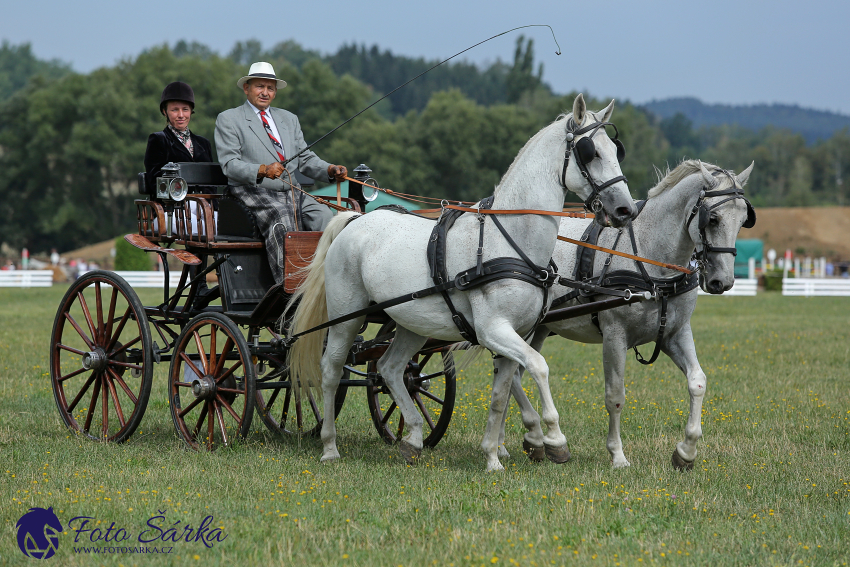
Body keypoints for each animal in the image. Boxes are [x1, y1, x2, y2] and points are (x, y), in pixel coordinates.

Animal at [288, 95, 632, 472]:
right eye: (590, 152)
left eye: (616, 151)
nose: (626, 210)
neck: (511, 242)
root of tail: (355, 219)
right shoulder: (493, 330)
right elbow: (539, 367)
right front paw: (555, 440)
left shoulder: (515, 334)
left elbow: (500, 394)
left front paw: (493, 456)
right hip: (346, 316)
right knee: (331, 370)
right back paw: (329, 446)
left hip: (412, 323)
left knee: (390, 369)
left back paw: (413, 438)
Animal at [496, 160, 756, 470]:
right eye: (712, 219)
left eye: (743, 220)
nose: (722, 282)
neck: (649, 256)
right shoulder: (614, 336)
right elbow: (615, 396)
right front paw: (617, 455)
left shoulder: (675, 333)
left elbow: (698, 383)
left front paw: (686, 451)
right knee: (513, 376)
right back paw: (536, 437)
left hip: (539, 329)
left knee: (510, 376)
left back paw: (506, 445)